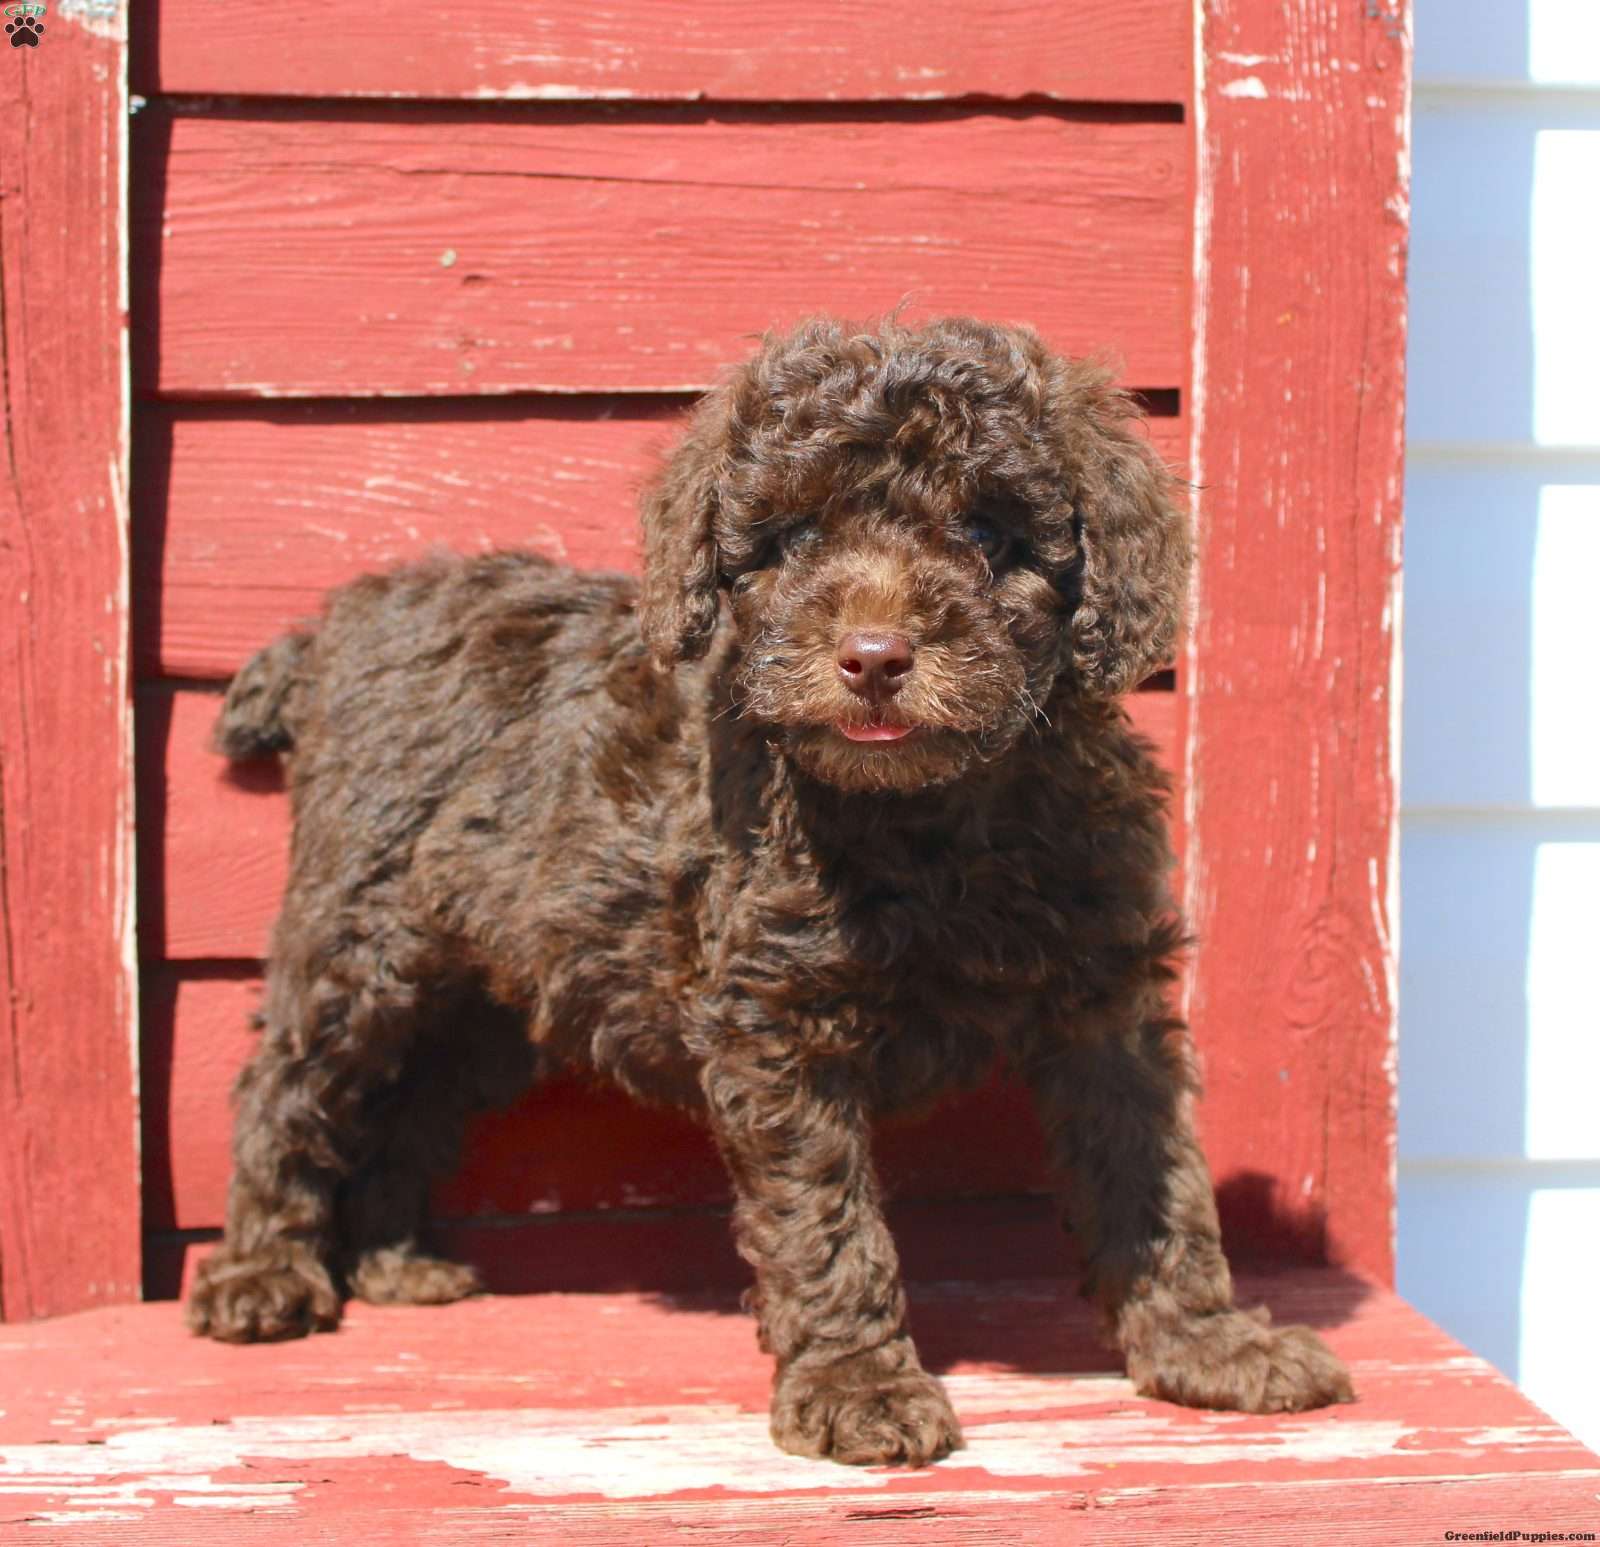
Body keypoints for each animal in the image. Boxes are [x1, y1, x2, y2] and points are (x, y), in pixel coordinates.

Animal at [190, 315, 1363, 1465]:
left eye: (988, 535)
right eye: (794, 539)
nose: (874, 657)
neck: (928, 812)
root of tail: (332, 626)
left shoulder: (1105, 991)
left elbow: (1153, 1176)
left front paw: (1208, 1345)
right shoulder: (778, 1017)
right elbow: (825, 1216)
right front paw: (859, 1388)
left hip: (488, 979)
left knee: (413, 1095)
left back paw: (396, 1263)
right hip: (359, 932)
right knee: (285, 1086)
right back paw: (261, 1276)